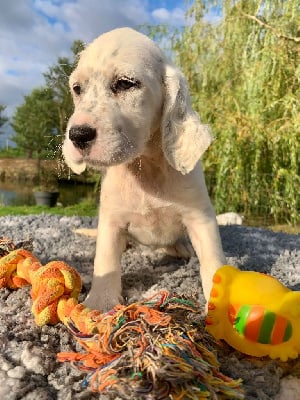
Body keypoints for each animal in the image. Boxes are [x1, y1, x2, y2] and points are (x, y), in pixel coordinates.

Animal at [62, 27, 225, 312]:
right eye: (77, 89)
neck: (145, 167)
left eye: (125, 84)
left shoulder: (201, 218)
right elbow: (105, 260)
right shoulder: (111, 221)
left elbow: (212, 261)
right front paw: (99, 304)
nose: (77, 135)